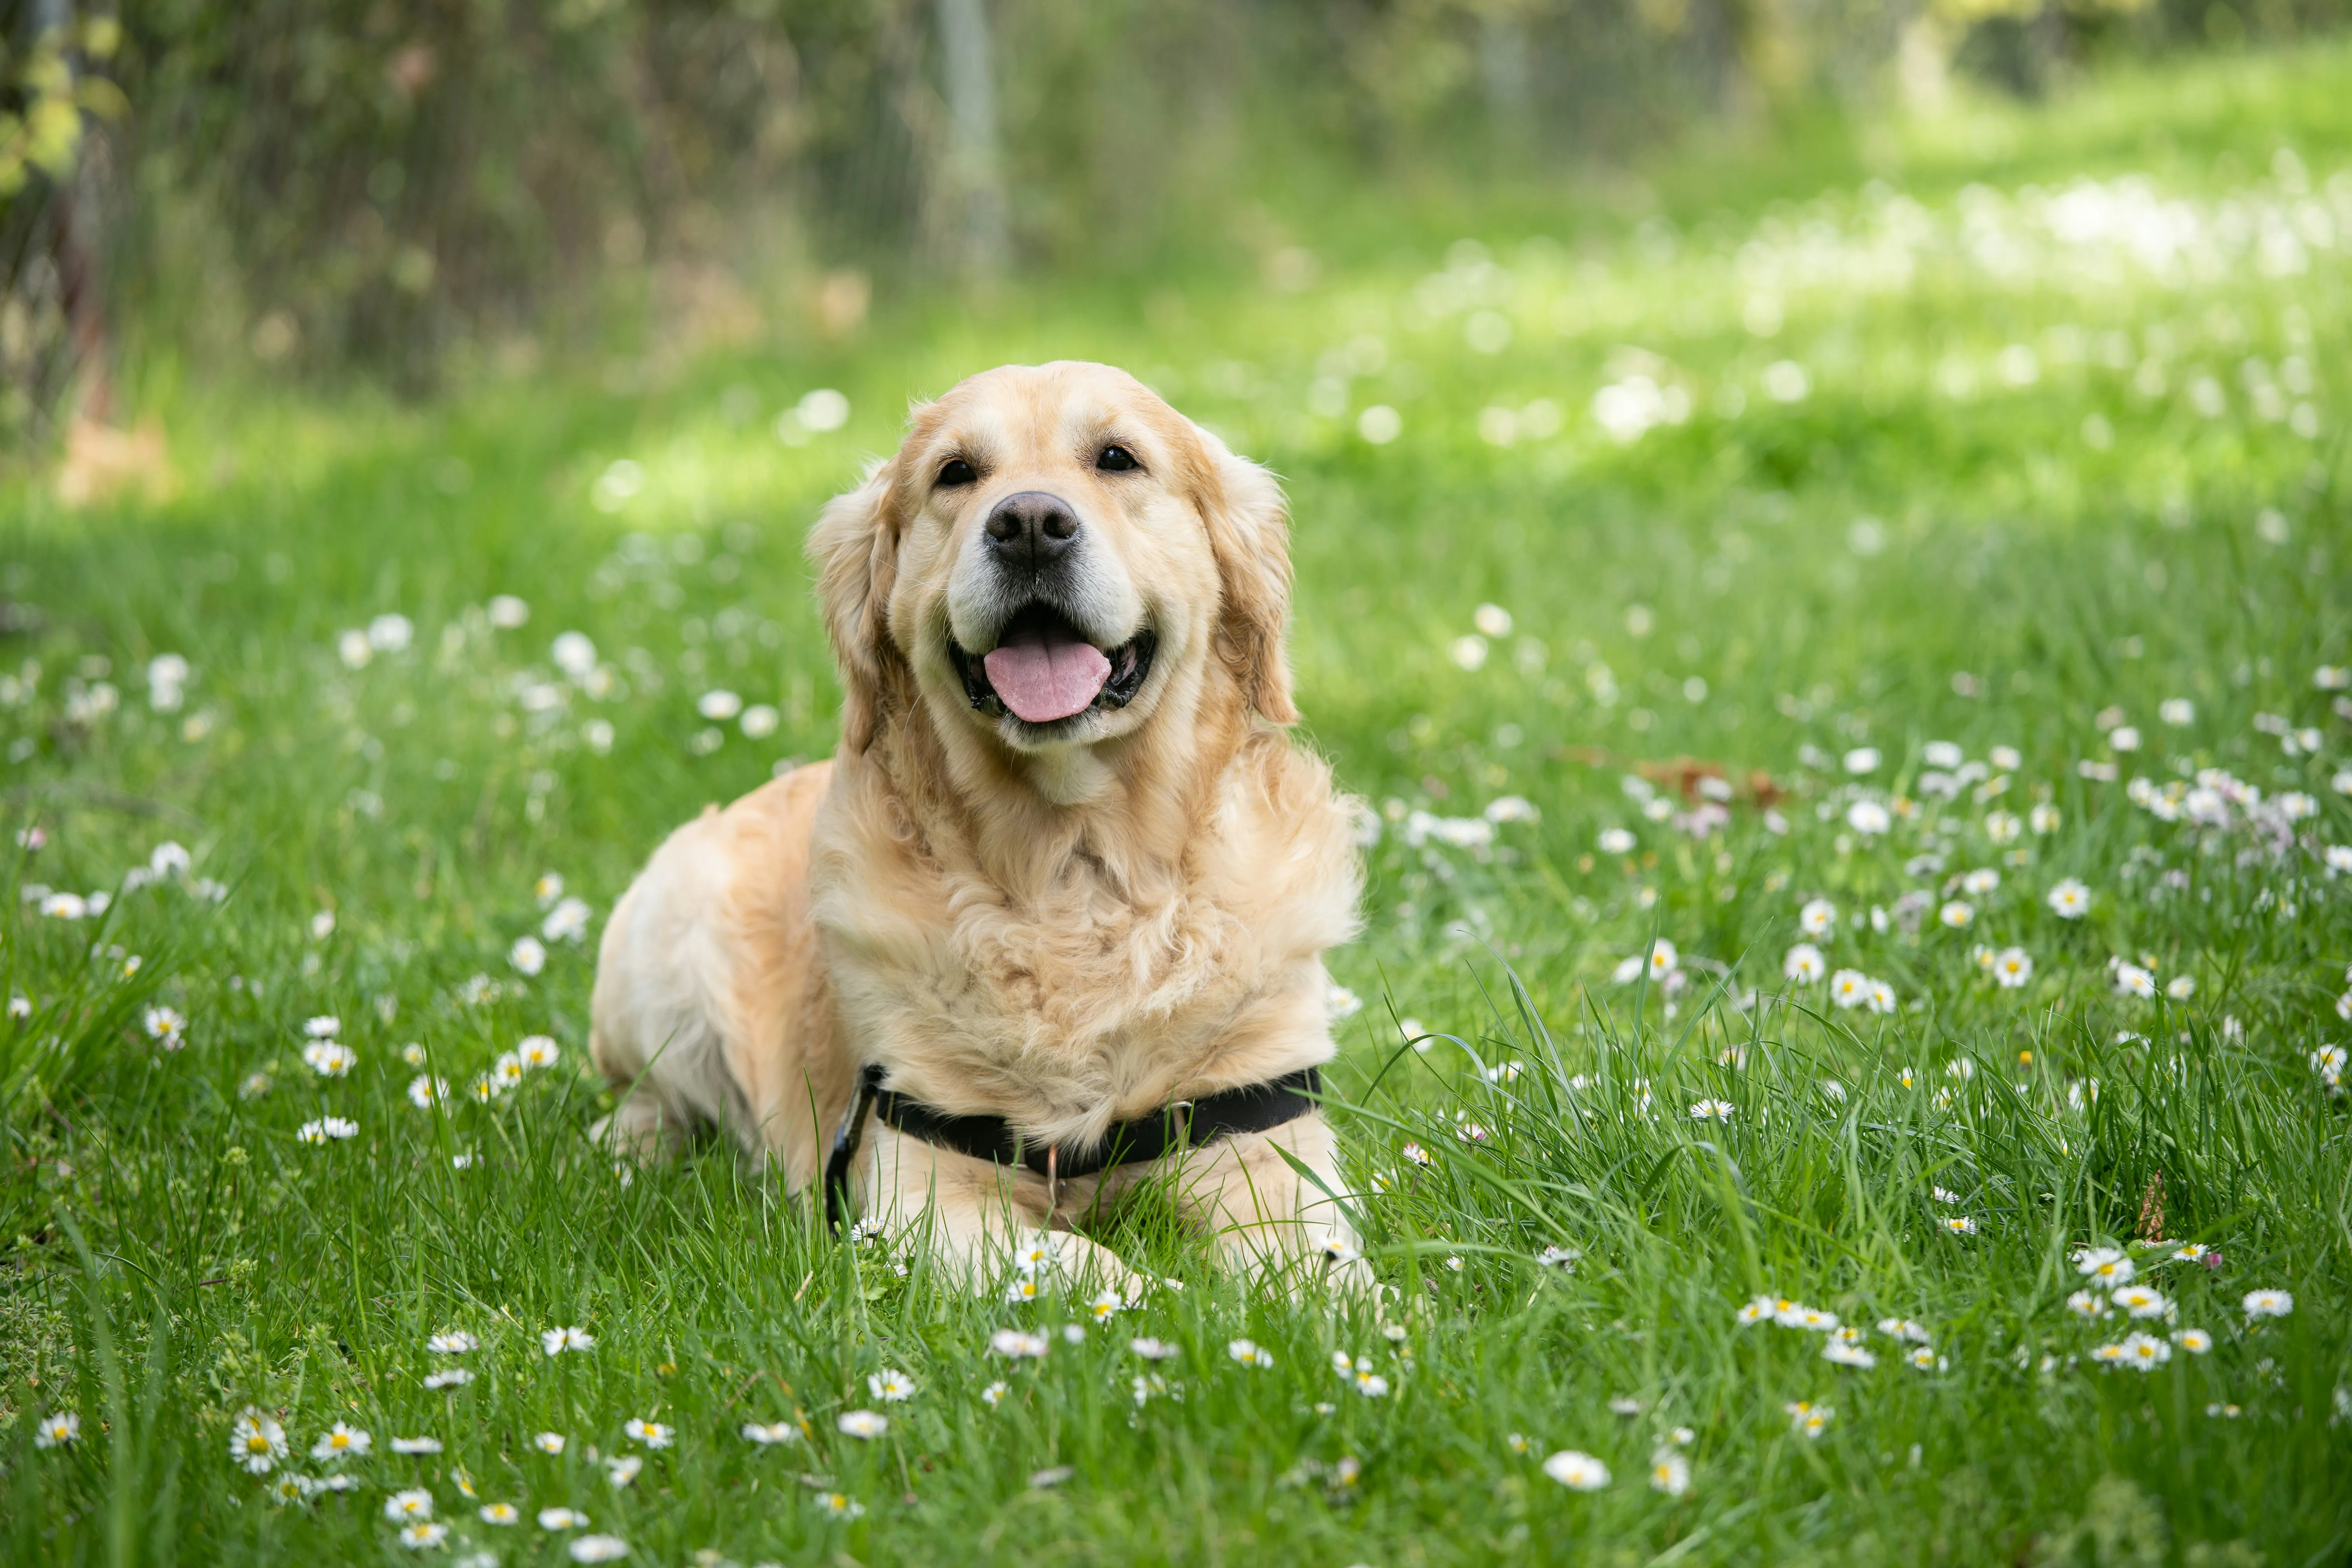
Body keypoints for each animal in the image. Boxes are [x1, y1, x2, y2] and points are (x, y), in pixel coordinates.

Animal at [583, 362, 1364, 1298]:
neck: (1075, 869)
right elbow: (1088, 1267)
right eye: (956, 473)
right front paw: (1168, 1304)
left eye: (1118, 458)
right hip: (662, 939)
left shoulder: (1267, 1143)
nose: (1029, 524)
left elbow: (1318, 1269)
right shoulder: (919, 1191)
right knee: (647, 1094)